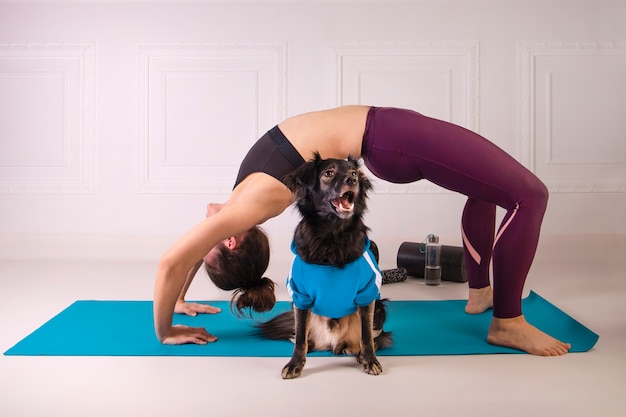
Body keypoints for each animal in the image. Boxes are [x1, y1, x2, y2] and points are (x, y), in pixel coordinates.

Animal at [256, 152, 388, 376]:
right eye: (328, 173)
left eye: (354, 173)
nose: (352, 180)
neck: (331, 237)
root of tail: (333, 343)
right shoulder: (300, 295)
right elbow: (300, 336)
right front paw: (295, 363)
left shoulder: (367, 292)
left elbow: (367, 335)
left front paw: (370, 359)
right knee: (304, 336)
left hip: (379, 307)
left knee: (375, 337)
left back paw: (357, 352)